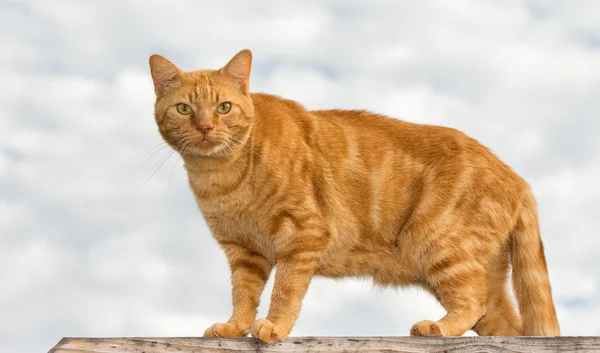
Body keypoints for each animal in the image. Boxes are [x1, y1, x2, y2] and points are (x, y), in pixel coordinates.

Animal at [148, 48, 560, 340]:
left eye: (224, 107)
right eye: (184, 109)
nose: (204, 127)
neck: (221, 177)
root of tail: (518, 178)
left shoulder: (303, 234)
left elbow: (285, 290)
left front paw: (274, 327)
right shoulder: (244, 253)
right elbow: (243, 295)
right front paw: (236, 327)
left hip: (437, 242)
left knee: (473, 300)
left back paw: (437, 328)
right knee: (510, 328)